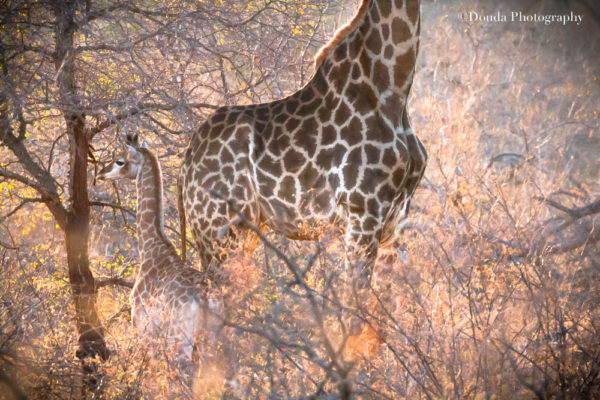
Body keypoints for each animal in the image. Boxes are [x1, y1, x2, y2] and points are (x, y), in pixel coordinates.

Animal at [179, 0, 426, 288]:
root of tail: (187, 160)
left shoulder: (397, 221)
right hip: (220, 233)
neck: (393, 90)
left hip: (240, 233)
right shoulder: (363, 211)